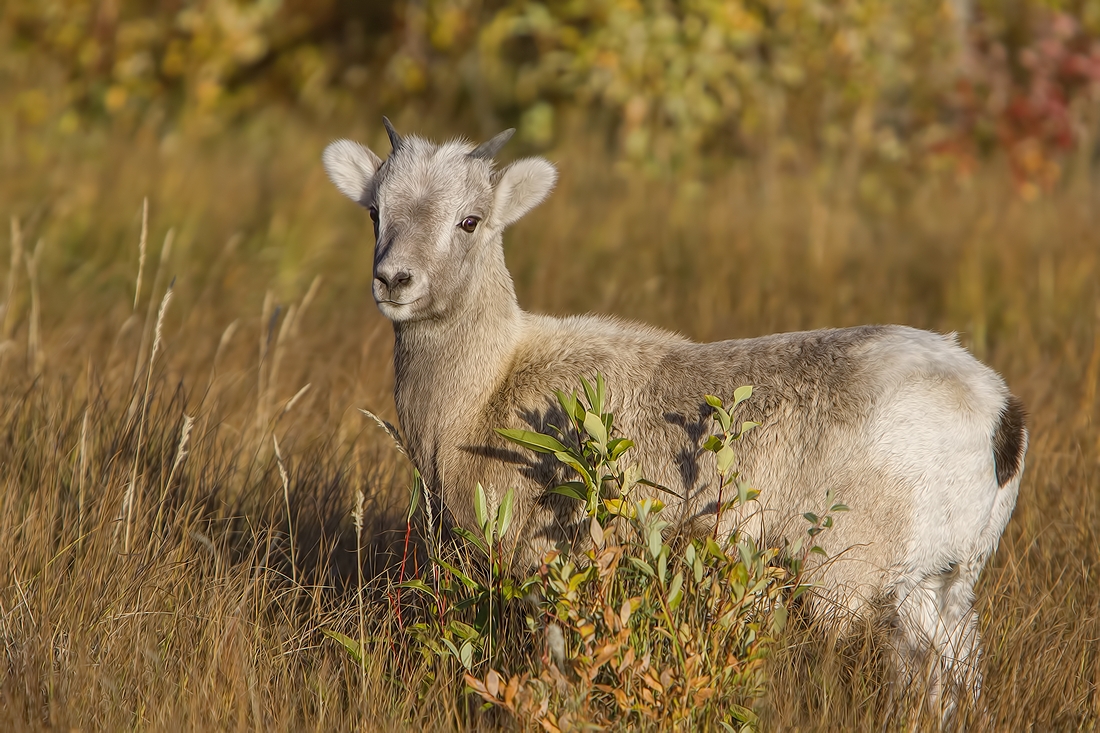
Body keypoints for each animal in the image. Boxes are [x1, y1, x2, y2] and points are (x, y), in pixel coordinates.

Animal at [321, 118, 1025, 695]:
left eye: (469, 220)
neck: (483, 391)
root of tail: (1000, 415)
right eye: (375, 213)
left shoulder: (546, 564)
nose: (394, 280)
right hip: (949, 579)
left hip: (871, 581)